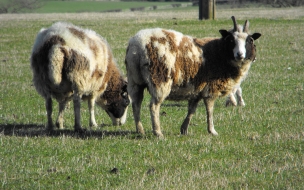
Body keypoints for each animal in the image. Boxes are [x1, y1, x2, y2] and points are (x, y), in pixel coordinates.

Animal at [124, 15, 260, 137]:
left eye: (250, 40)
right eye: (231, 40)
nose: (240, 54)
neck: (220, 52)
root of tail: (138, 45)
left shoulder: (197, 89)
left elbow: (192, 110)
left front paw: (184, 129)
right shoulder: (211, 88)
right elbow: (209, 110)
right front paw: (212, 130)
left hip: (134, 80)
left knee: (136, 104)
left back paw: (140, 130)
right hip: (160, 79)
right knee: (154, 106)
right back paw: (157, 132)